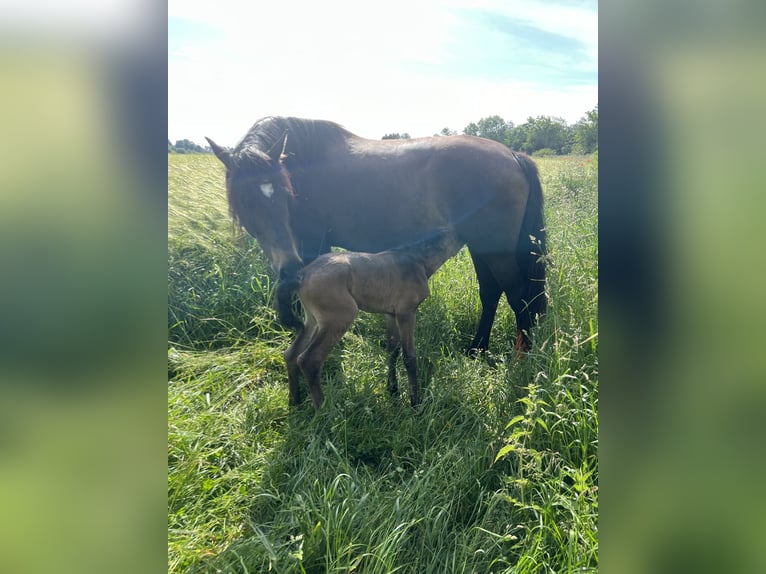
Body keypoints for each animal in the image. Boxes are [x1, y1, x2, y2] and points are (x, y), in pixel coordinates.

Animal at [207, 115, 548, 354]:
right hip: (482, 247)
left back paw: (522, 358)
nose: (288, 268)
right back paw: (477, 349)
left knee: (518, 296)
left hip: (496, 251)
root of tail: (513, 155)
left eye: (282, 193)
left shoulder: (310, 243)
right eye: (245, 202)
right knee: (491, 293)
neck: (304, 163)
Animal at [282, 227, 462, 412]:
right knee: (309, 360)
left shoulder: (390, 315)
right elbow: (409, 357)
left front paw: (393, 391)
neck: (417, 260)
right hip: (340, 318)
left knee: (291, 354)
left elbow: (392, 351)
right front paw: (415, 404)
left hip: (312, 321)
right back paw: (324, 411)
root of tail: (302, 274)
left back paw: (294, 402)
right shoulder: (406, 313)